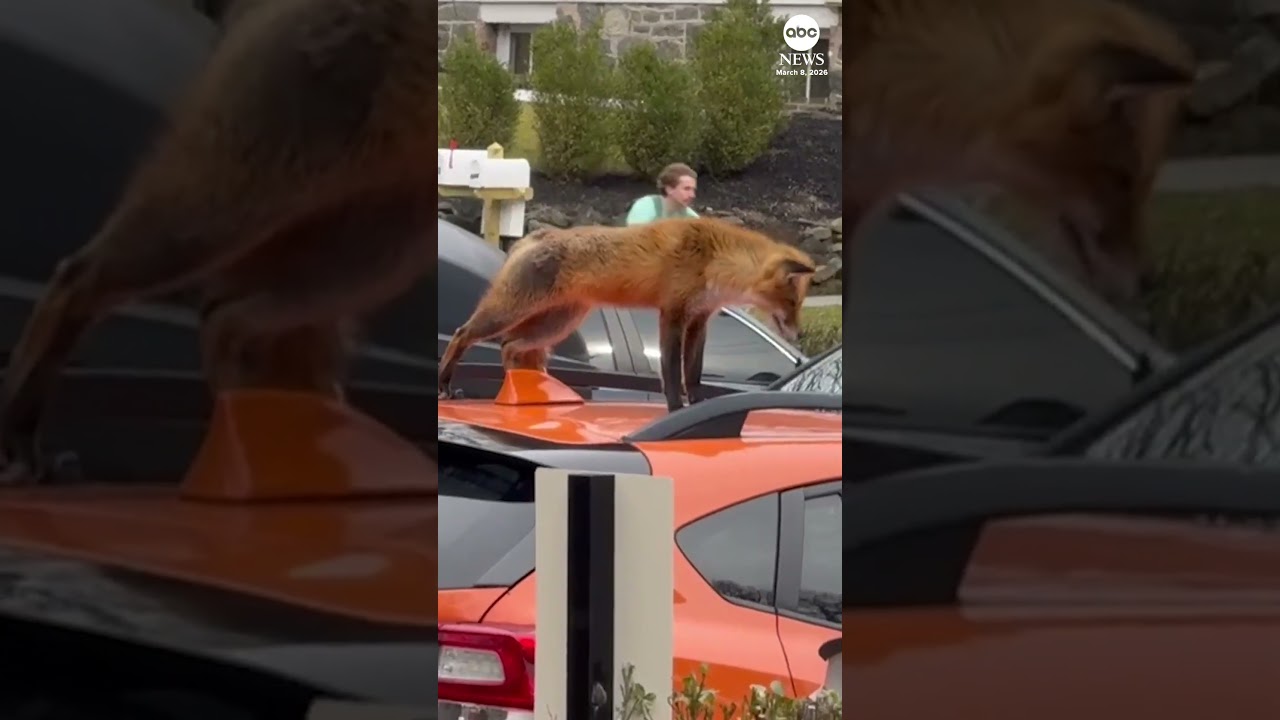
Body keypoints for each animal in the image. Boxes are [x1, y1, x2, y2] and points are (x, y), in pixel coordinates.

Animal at [437, 218, 816, 412]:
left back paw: (527, 393)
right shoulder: (672, 315)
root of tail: (532, 236)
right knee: (463, 334)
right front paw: (676, 410)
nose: (800, 336)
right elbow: (671, 374)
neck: (714, 260)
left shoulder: (699, 321)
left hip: (557, 323)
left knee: (510, 347)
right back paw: (446, 385)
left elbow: (693, 375)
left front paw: (697, 406)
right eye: (793, 302)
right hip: (510, 312)